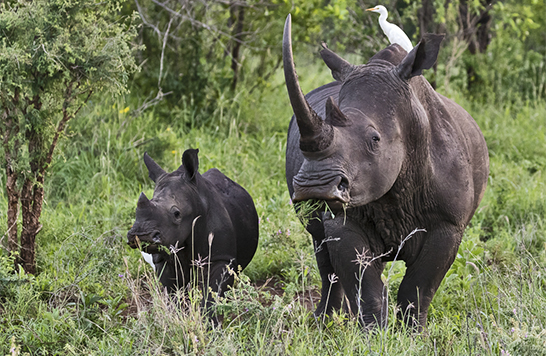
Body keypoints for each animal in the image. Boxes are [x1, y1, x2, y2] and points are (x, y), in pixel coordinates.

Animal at [126, 147, 258, 318]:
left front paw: (209, 322)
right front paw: (176, 316)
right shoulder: (163, 258)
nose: (141, 236)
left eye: (177, 214)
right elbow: (173, 292)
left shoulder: (221, 258)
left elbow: (213, 294)